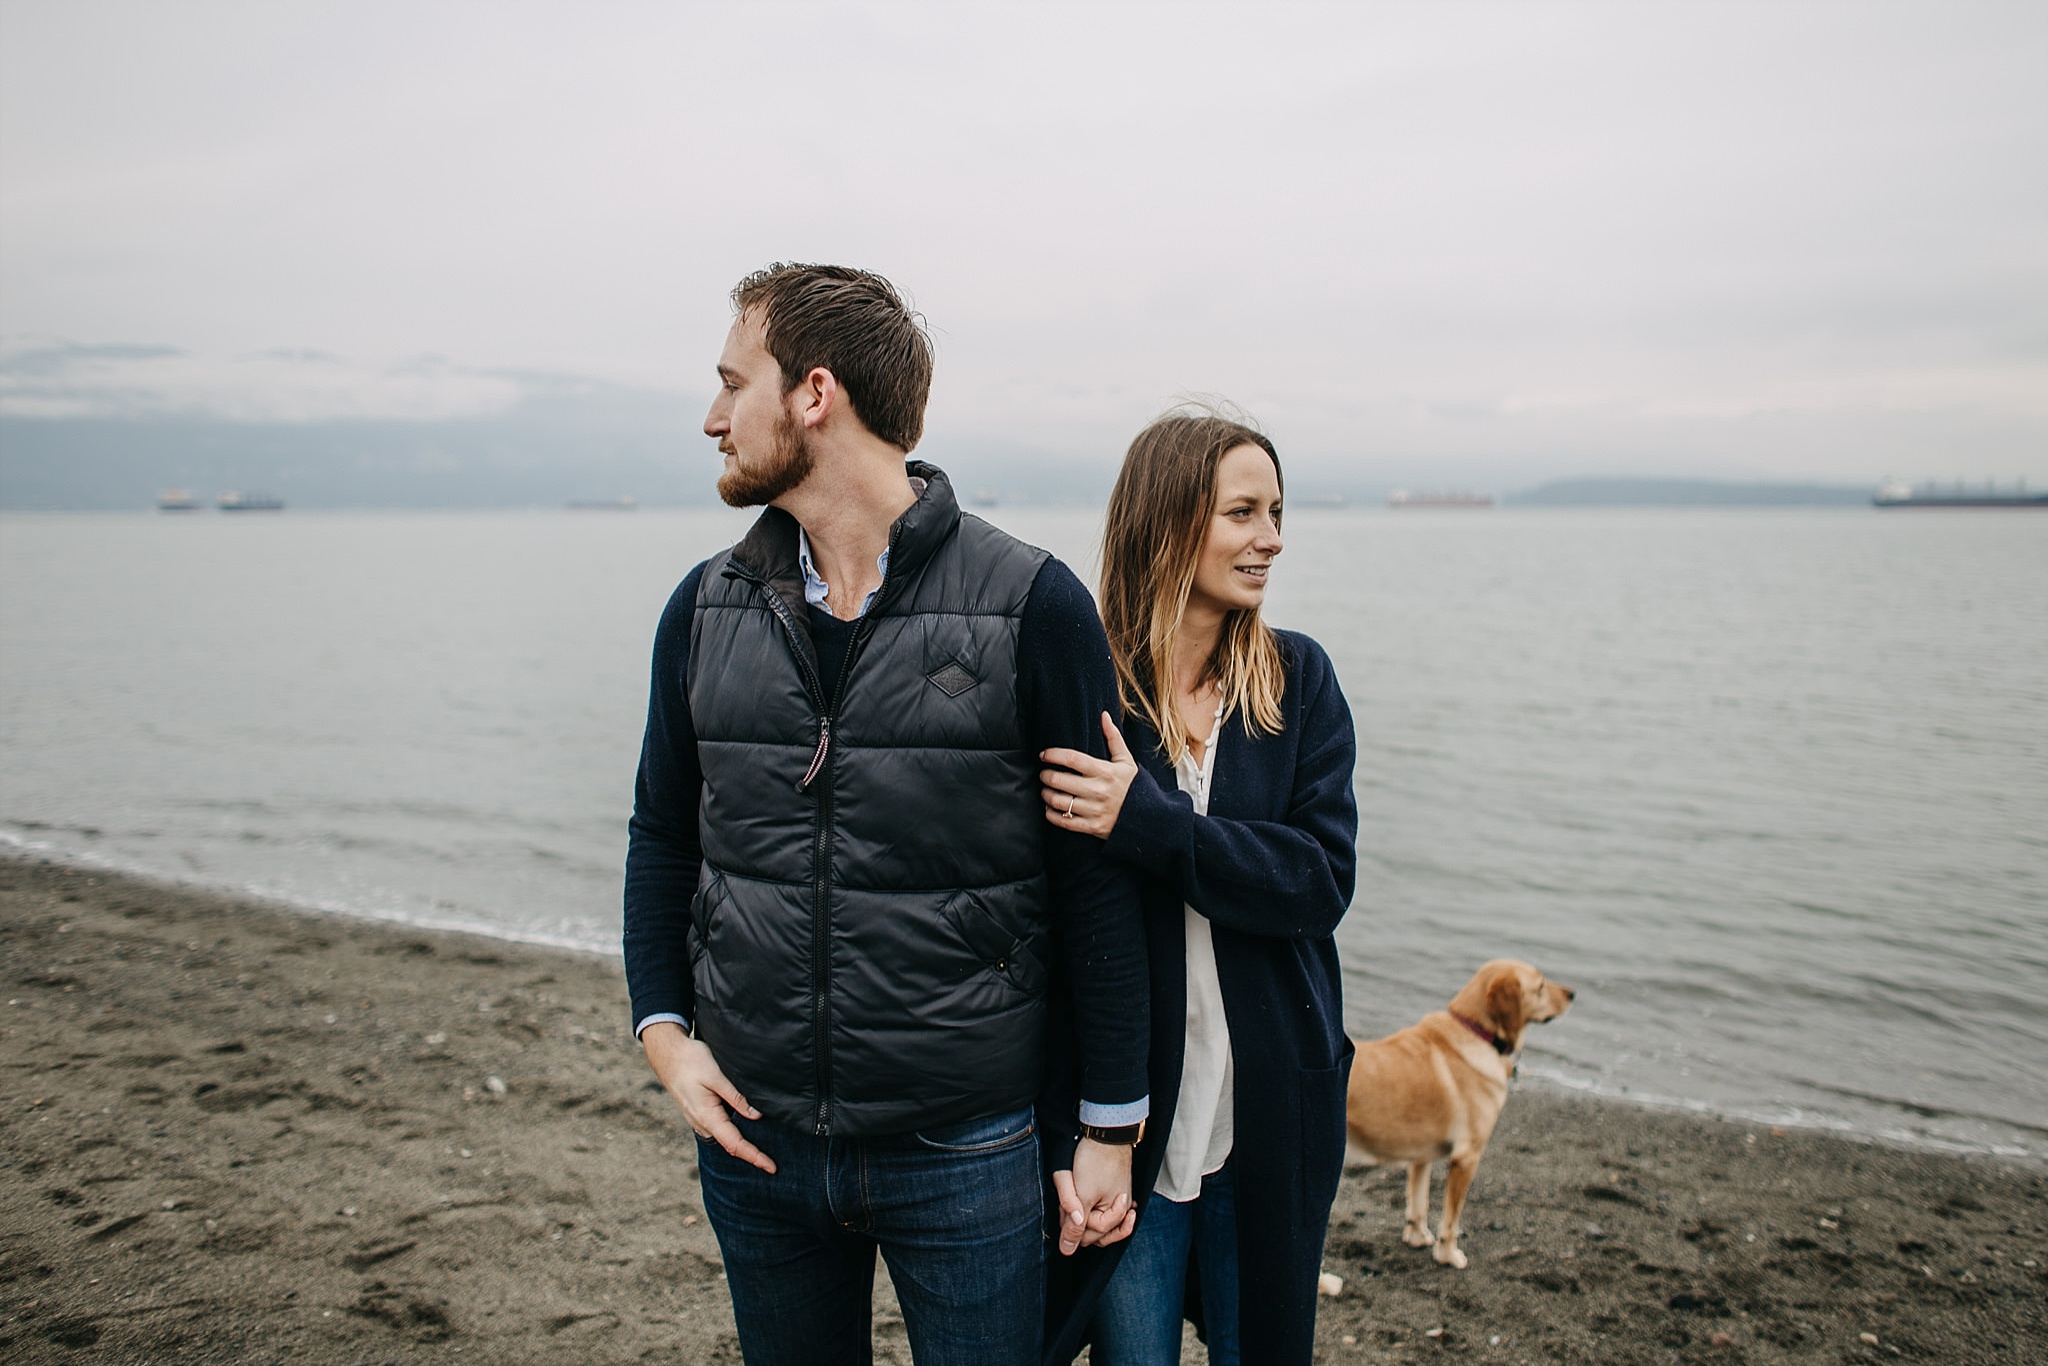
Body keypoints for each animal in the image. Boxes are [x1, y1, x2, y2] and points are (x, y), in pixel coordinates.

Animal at [1351, 962, 1572, 1269]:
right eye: (1540, 986)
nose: (1572, 994)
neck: (1477, 1031)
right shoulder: (1466, 1158)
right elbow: (1451, 1219)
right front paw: (1447, 1255)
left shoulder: (1421, 1155)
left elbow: (1418, 1202)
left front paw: (1417, 1237)